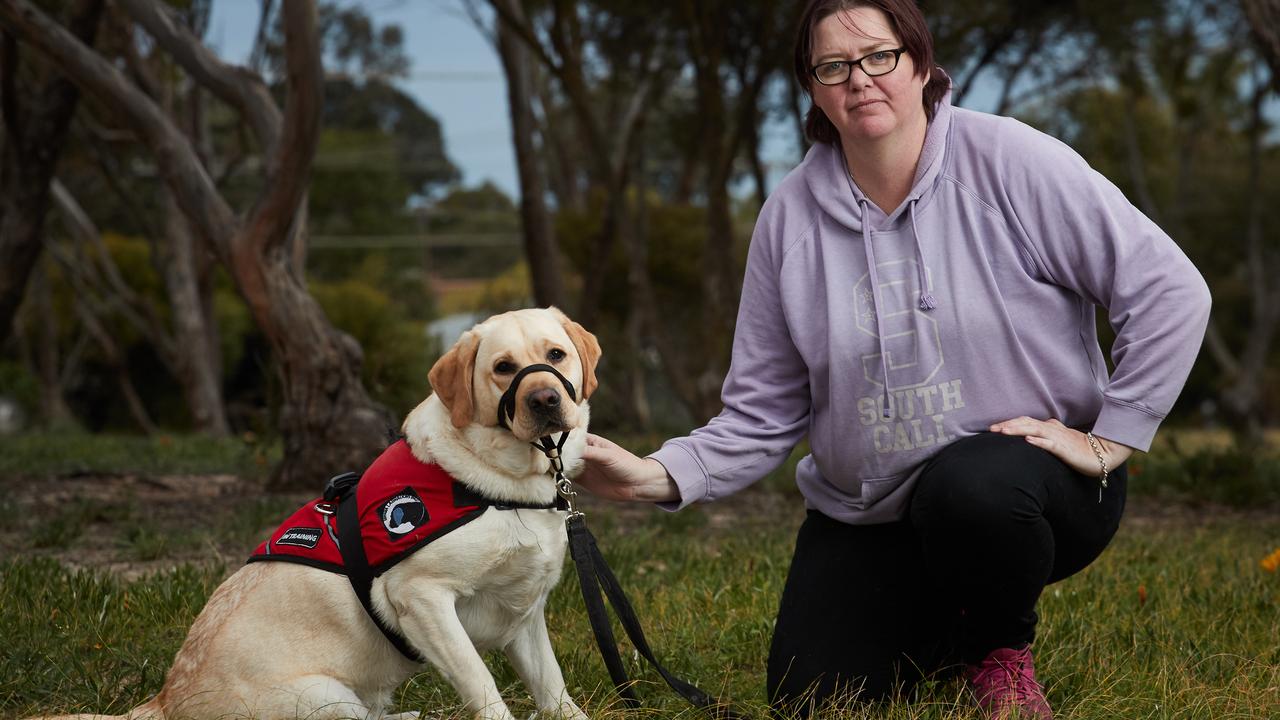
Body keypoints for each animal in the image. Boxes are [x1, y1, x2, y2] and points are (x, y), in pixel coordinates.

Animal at [37, 307, 596, 717]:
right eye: (502, 367)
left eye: (556, 354)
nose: (545, 399)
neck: (506, 483)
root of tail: (164, 702)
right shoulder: (420, 597)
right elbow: (481, 683)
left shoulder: (523, 612)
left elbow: (553, 686)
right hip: (325, 697)